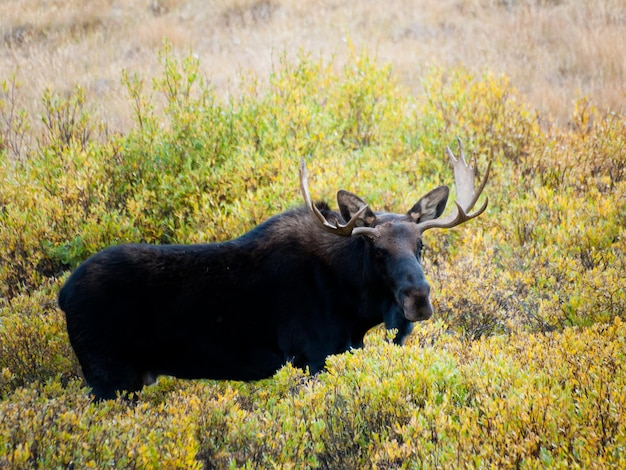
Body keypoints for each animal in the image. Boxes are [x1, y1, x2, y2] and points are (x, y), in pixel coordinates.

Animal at [57, 140, 488, 400]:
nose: (419, 300)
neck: (356, 309)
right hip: (109, 379)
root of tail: (62, 295)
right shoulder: (313, 355)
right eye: (378, 250)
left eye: (421, 246)